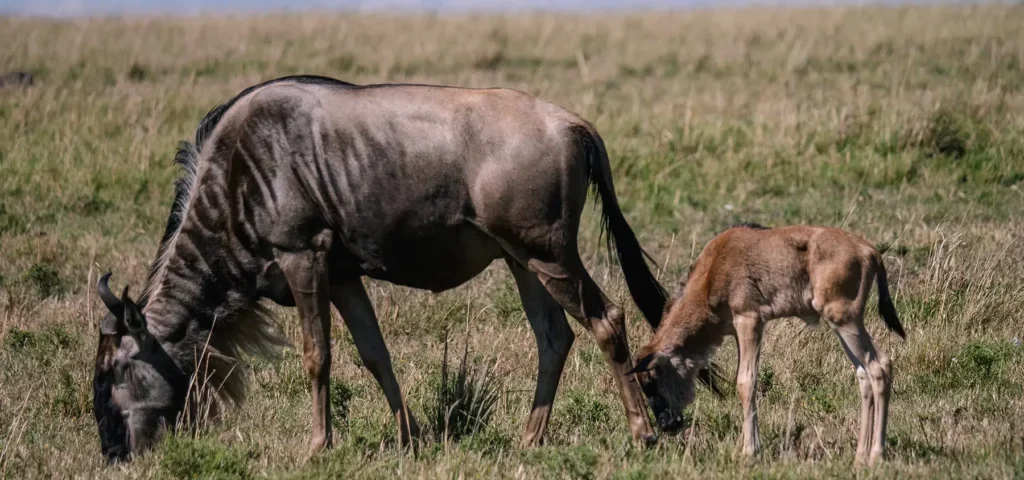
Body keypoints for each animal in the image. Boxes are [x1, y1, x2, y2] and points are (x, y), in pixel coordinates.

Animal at [91, 75, 717, 462]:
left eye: (116, 372)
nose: (113, 452)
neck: (238, 175)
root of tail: (573, 124)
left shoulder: (302, 256)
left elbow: (317, 356)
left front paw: (317, 446)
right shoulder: (342, 274)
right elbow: (374, 354)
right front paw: (410, 437)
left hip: (549, 255)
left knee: (606, 320)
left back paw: (641, 433)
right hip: (522, 260)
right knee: (554, 336)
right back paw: (528, 440)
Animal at [630, 222, 905, 466]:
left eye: (652, 377)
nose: (666, 424)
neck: (714, 269)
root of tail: (869, 250)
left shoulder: (749, 320)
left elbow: (745, 382)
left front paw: (750, 452)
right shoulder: (740, 330)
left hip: (845, 320)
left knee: (879, 366)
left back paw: (876, 456)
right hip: (841, 324)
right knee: (865, 373)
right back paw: (859, 458)